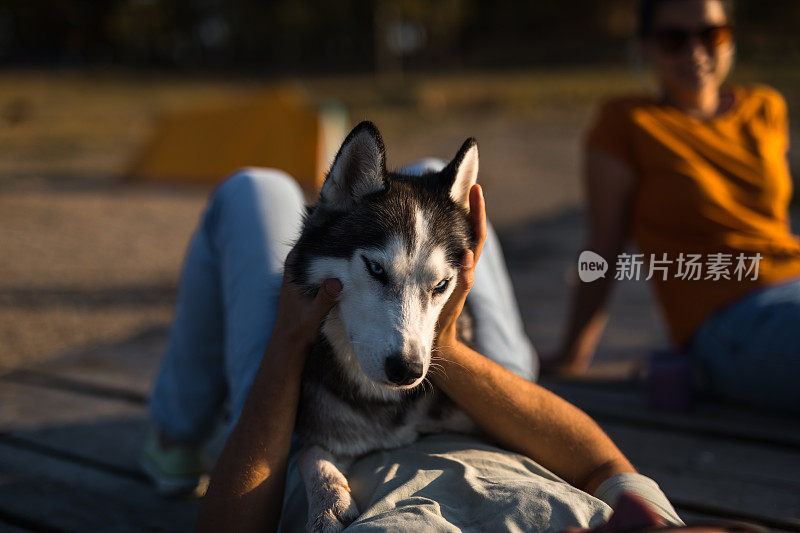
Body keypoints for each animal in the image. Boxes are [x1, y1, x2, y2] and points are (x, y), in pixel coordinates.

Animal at [290, 121, 482, 532]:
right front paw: (328, 502)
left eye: (441, 284)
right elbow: (309, 454)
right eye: (376, 269)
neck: (385, 406)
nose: (407, 369)